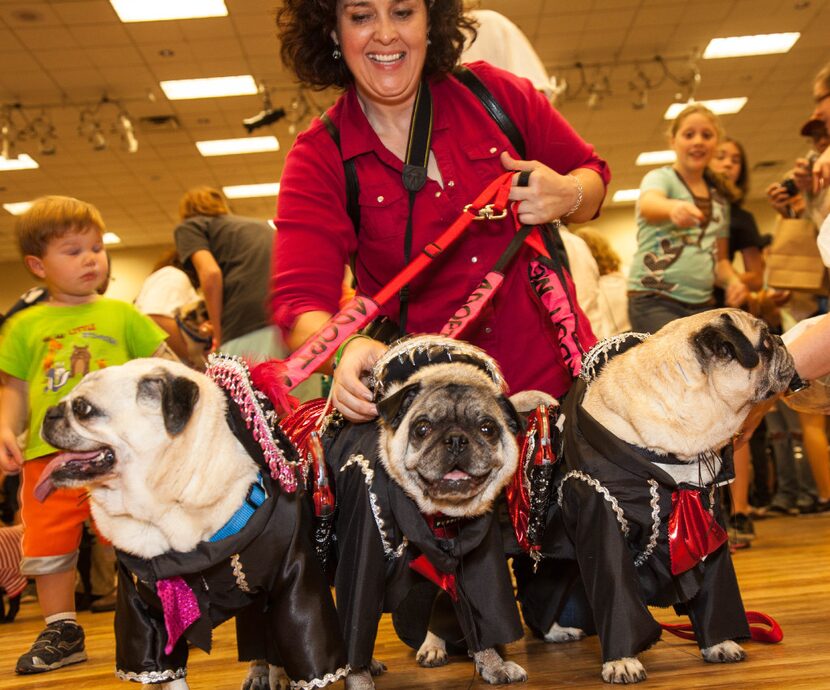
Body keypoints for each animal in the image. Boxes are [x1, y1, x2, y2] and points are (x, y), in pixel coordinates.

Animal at [36, 354, 344, 688]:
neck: (167, 508)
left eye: (83, 409)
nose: (48, 414)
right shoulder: (146, 616)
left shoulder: (295, 584)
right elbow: (167, 672)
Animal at [316, 336, 556, 688]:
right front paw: (359, 680)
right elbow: (357, 625)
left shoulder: (478, 562)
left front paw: (493, 664)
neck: (435, 513)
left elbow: (481, 618)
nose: (456, 439)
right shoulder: (361, 564)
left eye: (488, 428)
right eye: (422, 428)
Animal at [544, 310, 796, 684]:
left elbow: (714, 593)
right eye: (764, 343)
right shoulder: (601, 522)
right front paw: (622, 660)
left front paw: (719, 643)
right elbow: (616, 592)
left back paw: (556, 631)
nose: (781, 340)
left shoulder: (708, 526)